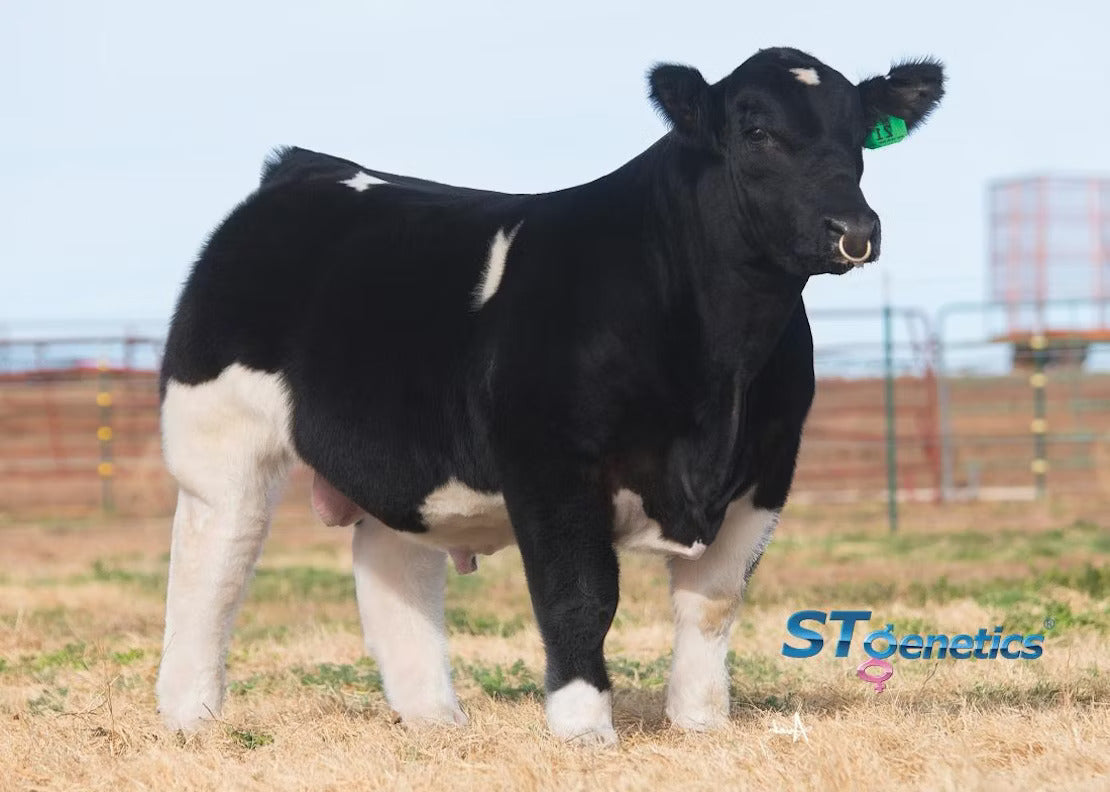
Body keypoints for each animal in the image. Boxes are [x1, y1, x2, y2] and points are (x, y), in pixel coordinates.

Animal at [156, 46, 944, 745]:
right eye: (757, 132)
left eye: (858, 135)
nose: (853, 231)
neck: (722, 372)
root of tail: (306, 168)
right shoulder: (551, 462)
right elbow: (581, 594)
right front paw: (583, 728)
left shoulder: (767, 469)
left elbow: (713, 601)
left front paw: (701, 722)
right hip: (218, 436)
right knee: (211, 564)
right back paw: (190, 714)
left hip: (404, 465)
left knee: (393, 568)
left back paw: (434, 721)